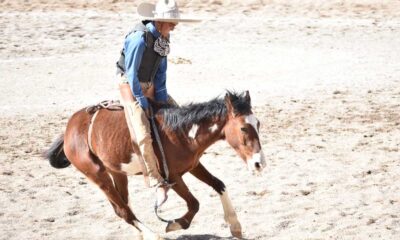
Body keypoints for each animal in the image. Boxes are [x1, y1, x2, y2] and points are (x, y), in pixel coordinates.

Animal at [45, 90, 266, 240]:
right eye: (243, 128)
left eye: (258, 123)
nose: (259, 163)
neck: (180, 132)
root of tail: (70, 127)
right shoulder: (172, 176)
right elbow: (194, 203)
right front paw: (175, 225)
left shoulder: (193, 165)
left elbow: (219, 184)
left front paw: (235, 225)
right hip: (97, 174)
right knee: (124, 211)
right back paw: (153, 235)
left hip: (117, 172)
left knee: (123, 205)